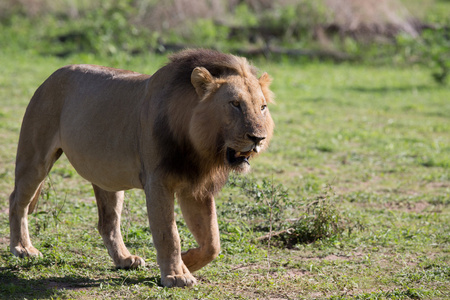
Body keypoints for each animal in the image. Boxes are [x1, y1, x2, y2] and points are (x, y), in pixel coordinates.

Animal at [9, 48, 274, 286]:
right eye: (235, 104)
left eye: (262, 107)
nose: (258, 138)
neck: (199, 148)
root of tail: (50, 76)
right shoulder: (157, 182)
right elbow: (169, 233)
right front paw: (176, 275)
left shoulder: (197, 188)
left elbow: (212, 242)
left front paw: (186, 262)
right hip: (35, 159)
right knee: (16, 200)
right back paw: (23, 249)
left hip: (109, 177)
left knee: (107, 223)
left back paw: (124, 259)